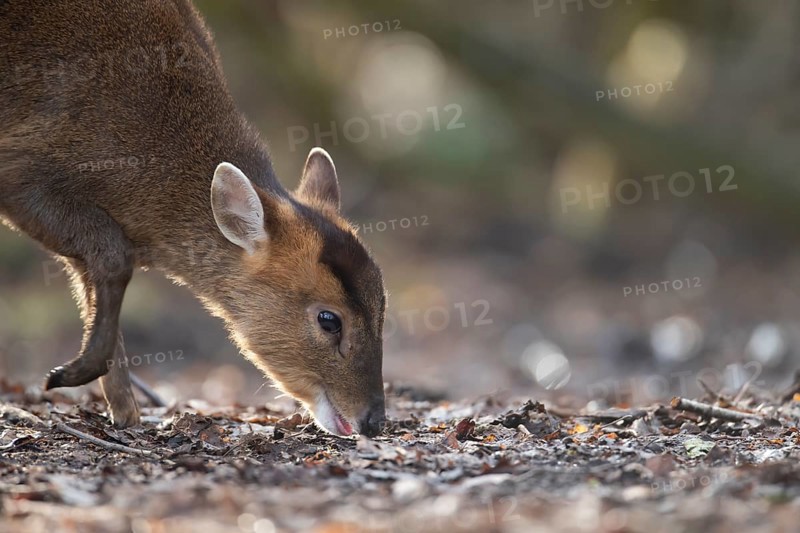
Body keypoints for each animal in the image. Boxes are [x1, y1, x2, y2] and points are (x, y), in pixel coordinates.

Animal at [0, 0, 386, 437]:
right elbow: (115, 257)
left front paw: (125, 413)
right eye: (329, 319)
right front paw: (67, 375)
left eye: (383, 304)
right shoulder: (20, 171)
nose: (375, 420)